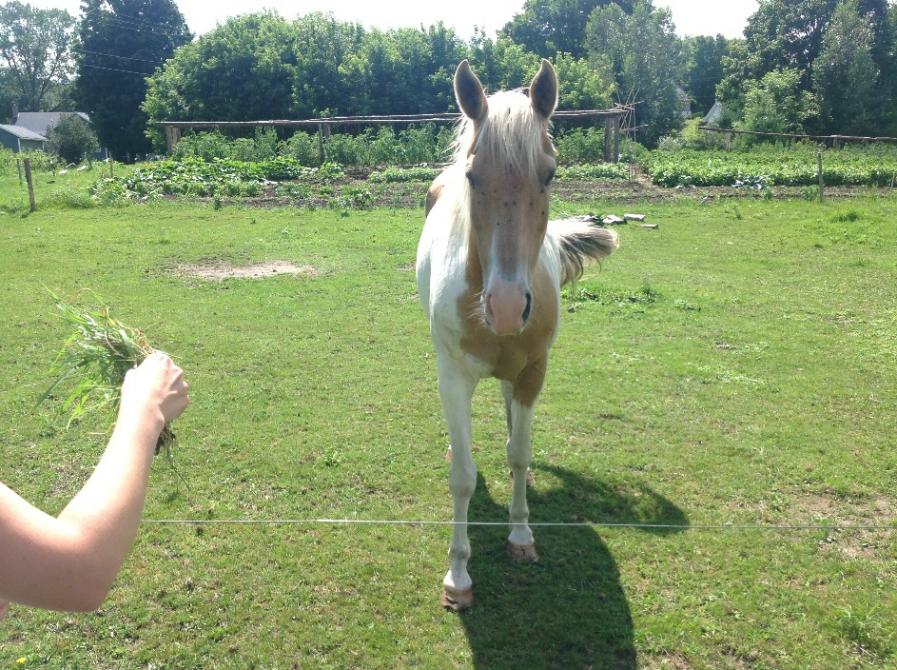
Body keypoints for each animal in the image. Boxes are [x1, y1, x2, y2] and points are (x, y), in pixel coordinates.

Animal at [416, 60, 620, 612]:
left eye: (549, 173)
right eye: (472, 175)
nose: (506, 307)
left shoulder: (533, 372)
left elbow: (520, 450)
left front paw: (521, 536)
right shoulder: (452, 378)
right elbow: (463, 479)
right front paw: (458, 578)